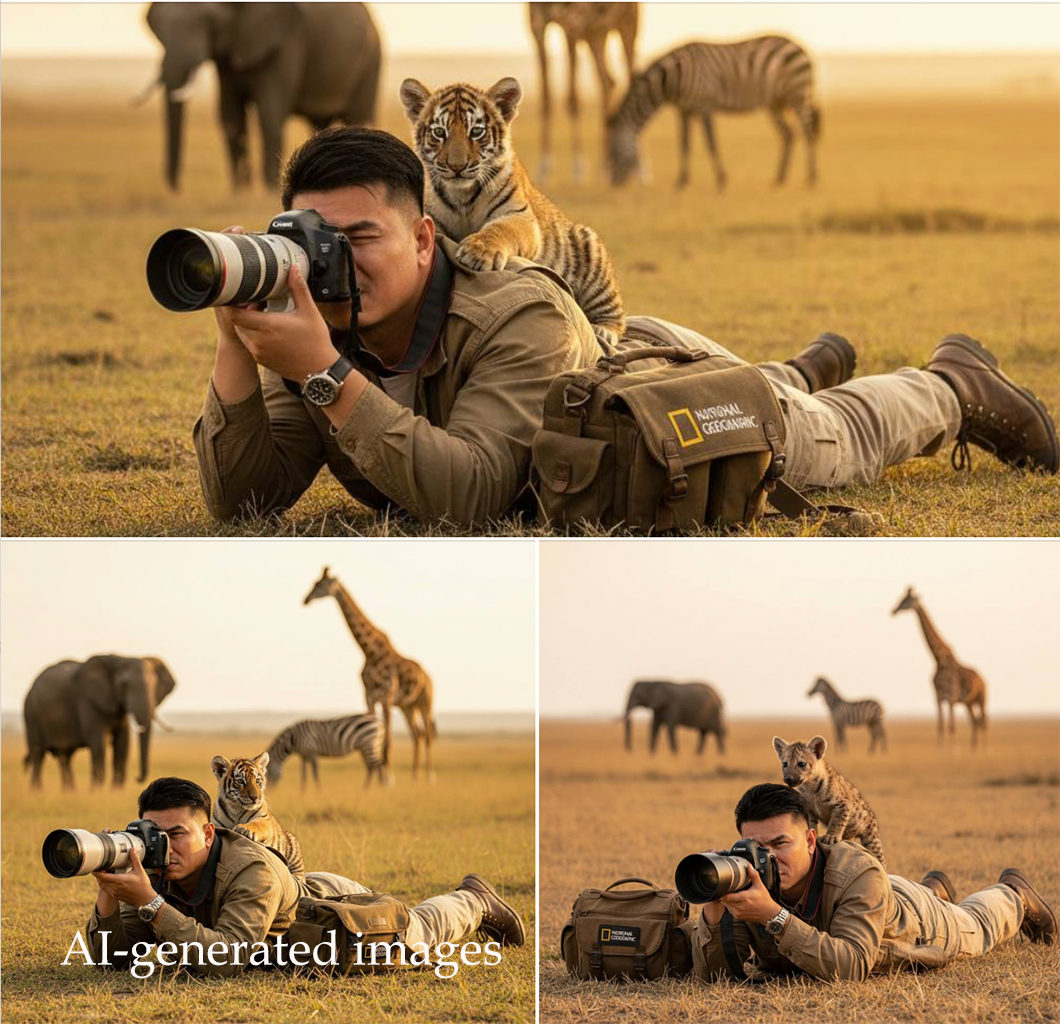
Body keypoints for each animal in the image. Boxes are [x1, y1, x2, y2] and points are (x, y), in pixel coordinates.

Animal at [399, 75, 627, 347]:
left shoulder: (518, 216)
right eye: (439, 132)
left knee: (615, 313)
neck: (462, 196)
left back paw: (604, 330)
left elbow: (500, 229)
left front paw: (478, 252)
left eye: (476, 132)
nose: (456, 167)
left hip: (589, 250)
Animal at [605, 36, 820, 190]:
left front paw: (721, 179)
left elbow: (711, 143)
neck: (674, 78)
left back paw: (811, 178)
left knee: (808, 132)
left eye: (613, 154)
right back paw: (779, 178)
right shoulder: (684, 110)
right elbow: (684, 144)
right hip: (775, 103)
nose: (615, 186)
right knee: (789, 134)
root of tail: (802, 47)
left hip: (798, 94)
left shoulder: (705, 105)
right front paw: (682, 181)